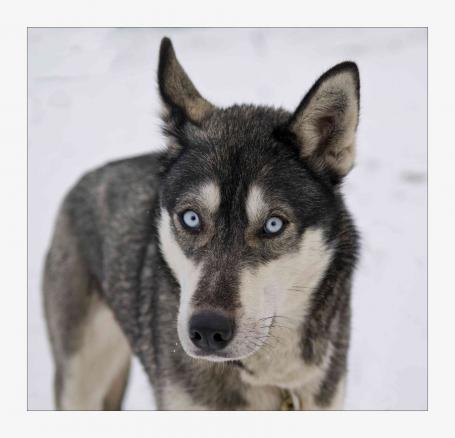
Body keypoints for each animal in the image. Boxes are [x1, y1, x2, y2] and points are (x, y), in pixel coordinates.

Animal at [44, 37, 362, 410]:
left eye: (273, 225)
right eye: (191, 218)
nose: (208, 330)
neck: (274, 381)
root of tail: (87, 178)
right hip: (80, 380)